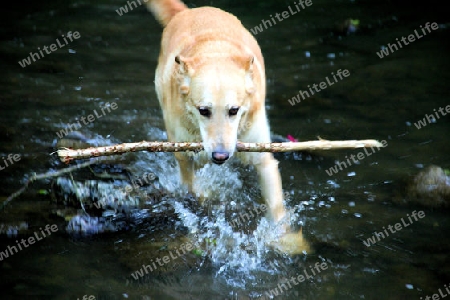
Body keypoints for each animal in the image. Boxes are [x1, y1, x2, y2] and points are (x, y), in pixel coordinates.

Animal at [146, 0, 312, 253]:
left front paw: (285, 240)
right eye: (203, 110)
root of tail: (190, 11)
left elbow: (277, 208)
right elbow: (192, 189)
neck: (214, 54)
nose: (221, 156)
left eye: (234, 110)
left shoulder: (264, 159)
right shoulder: (184, 155)